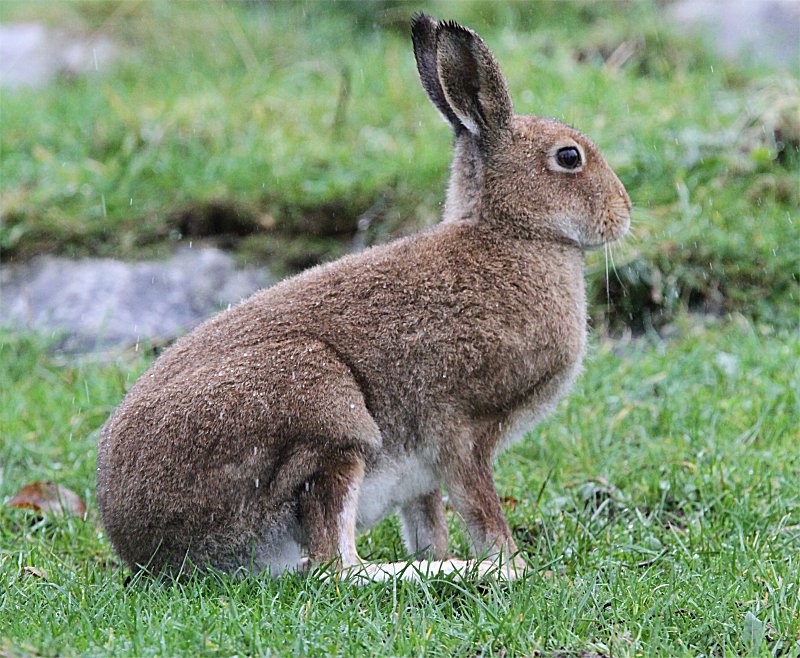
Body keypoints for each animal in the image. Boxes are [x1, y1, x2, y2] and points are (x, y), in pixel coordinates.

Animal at [96, 13, 631, 581]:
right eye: (569, 157)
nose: (623, 211)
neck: (511, 233)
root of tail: (143, 543)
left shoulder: (422, 474)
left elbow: (428, 523)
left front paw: (453, 554)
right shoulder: (464, 433)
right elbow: (483, 511)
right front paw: (517, 566)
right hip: (326, 414)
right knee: (337, 567)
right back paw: (468, 573)